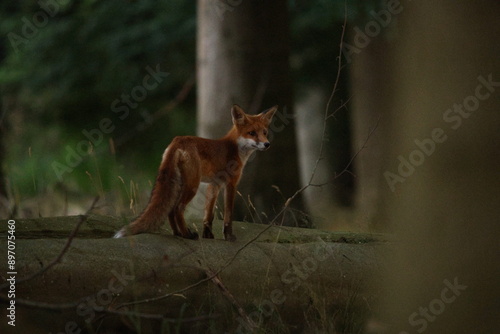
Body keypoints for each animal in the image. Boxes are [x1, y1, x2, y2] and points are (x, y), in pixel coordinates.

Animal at [114, 104, 278, 240]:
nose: (267, 144)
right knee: (178, 208)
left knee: (170, 210)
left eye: (264, 133)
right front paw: (229, 236)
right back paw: (187, 235)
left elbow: (208, 216)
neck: (235, 148)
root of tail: (177, 140)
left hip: (180, 183)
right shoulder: (231, 184)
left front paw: (208, 235)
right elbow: (228, 215)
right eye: (252, 133)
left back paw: (178, 233)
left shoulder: (214, 185)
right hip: (192, 184)